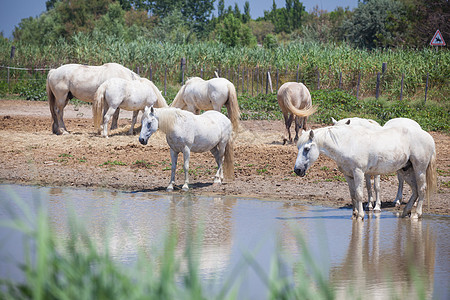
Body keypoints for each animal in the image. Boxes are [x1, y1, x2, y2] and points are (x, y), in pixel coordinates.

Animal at [296, 124, 436, 220]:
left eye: (307, 148)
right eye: (298, 147)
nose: (297, 170)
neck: (348, 144)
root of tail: (428, 137)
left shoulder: (358, 172)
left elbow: (359, 194)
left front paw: (360, 216)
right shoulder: (348, 175)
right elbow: (353, 195)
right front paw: (355, 214)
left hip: (419, 169)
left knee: (421, 189)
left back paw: (416, 214)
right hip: (407, 171)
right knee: (415, 190)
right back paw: (406, 212)